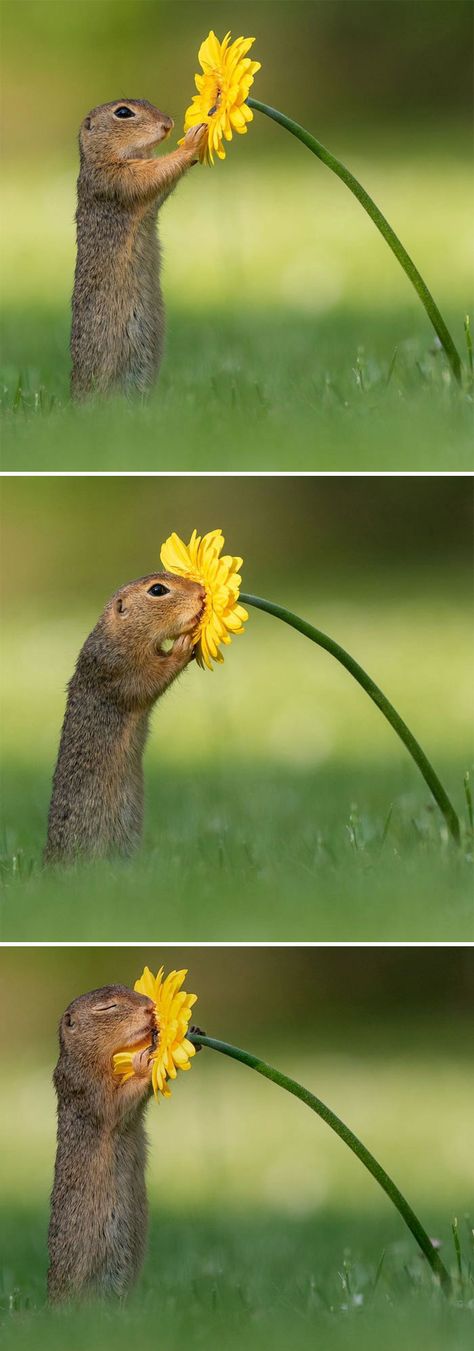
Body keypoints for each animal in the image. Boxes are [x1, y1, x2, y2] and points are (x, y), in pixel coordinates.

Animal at [44, 567, 206, 853]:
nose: (201, 592)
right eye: (157, 590)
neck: (119, 634)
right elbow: (150, 680)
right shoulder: (119, 669)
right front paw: (183, 646)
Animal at [69, 99, 206, 397]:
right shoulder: (116, 178)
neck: (102, 157)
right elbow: (152, 174)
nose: (168, 124)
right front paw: (192, 142)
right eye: (123, 112)